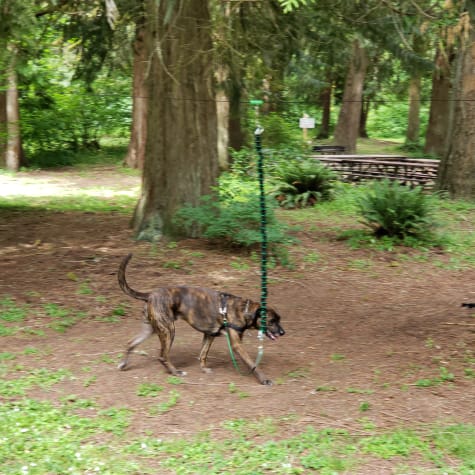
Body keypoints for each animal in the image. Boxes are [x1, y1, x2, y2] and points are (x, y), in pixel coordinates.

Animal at [116, 255, 284, 384]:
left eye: (279, 319)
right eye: (271, 321)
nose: (283, 332)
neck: (245, 310)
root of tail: (150, 294)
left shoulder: (209, 335)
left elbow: (203, 354)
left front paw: (203, 369)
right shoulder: (237, 345)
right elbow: (253, 364)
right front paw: (264, 379)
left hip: (150, 329)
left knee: (131, 343)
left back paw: (123, 364)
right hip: (168, 330)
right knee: (162, 356)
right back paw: (175, 372)